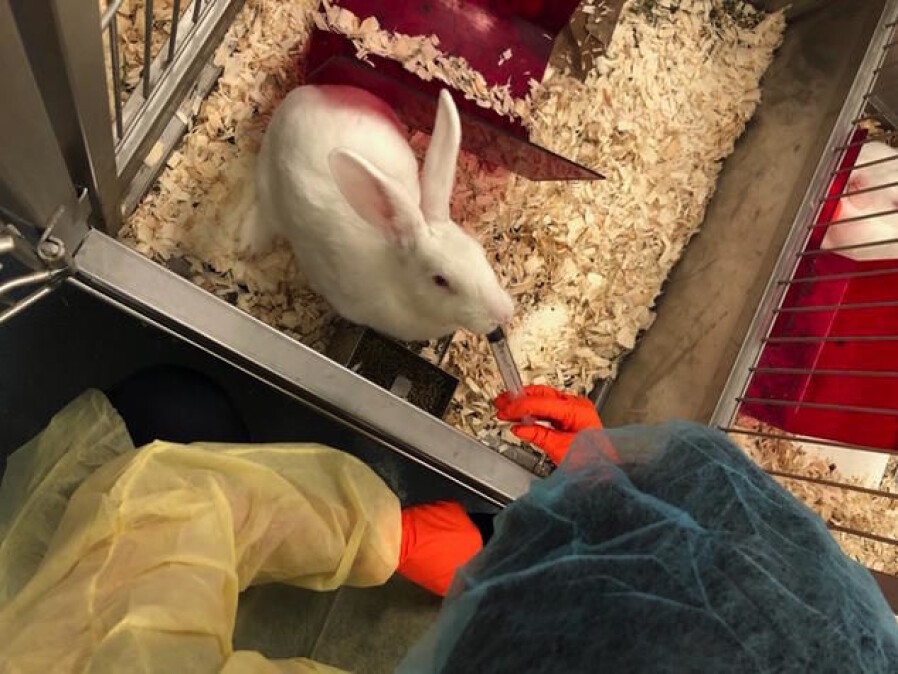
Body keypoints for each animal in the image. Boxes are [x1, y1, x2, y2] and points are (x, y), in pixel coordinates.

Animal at [239, 84, 514, 343]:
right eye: (440, 280)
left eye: (479, 251)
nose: (504, 314)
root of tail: (300, 94)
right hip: (268, 183)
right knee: (264, 213)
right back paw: (247, 247)